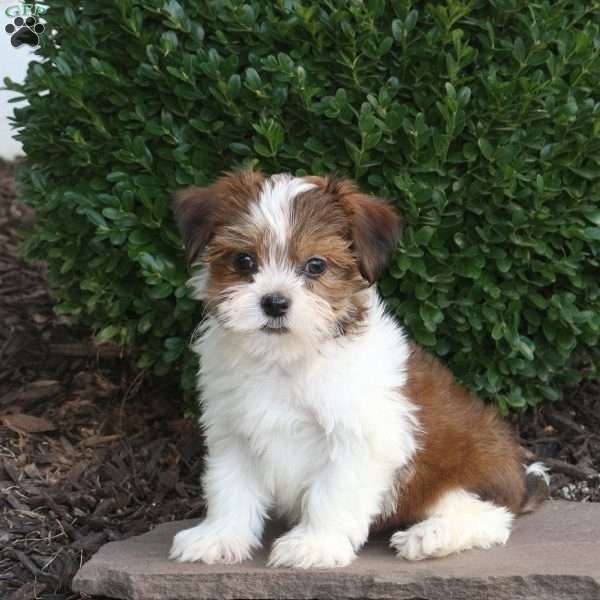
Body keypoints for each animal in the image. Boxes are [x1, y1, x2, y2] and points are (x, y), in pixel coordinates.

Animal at [169, 169, 548, 568]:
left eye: (315, 265)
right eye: (244, 261)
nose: (274, 302)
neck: (285, 357)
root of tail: (519, 481)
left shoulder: (361, 438)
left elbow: (332, 493)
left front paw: (314, 544)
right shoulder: (233, 432)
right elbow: (230, 488)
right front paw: (219, 536)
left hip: (453, 473)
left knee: (490, 517)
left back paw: (430, 536)